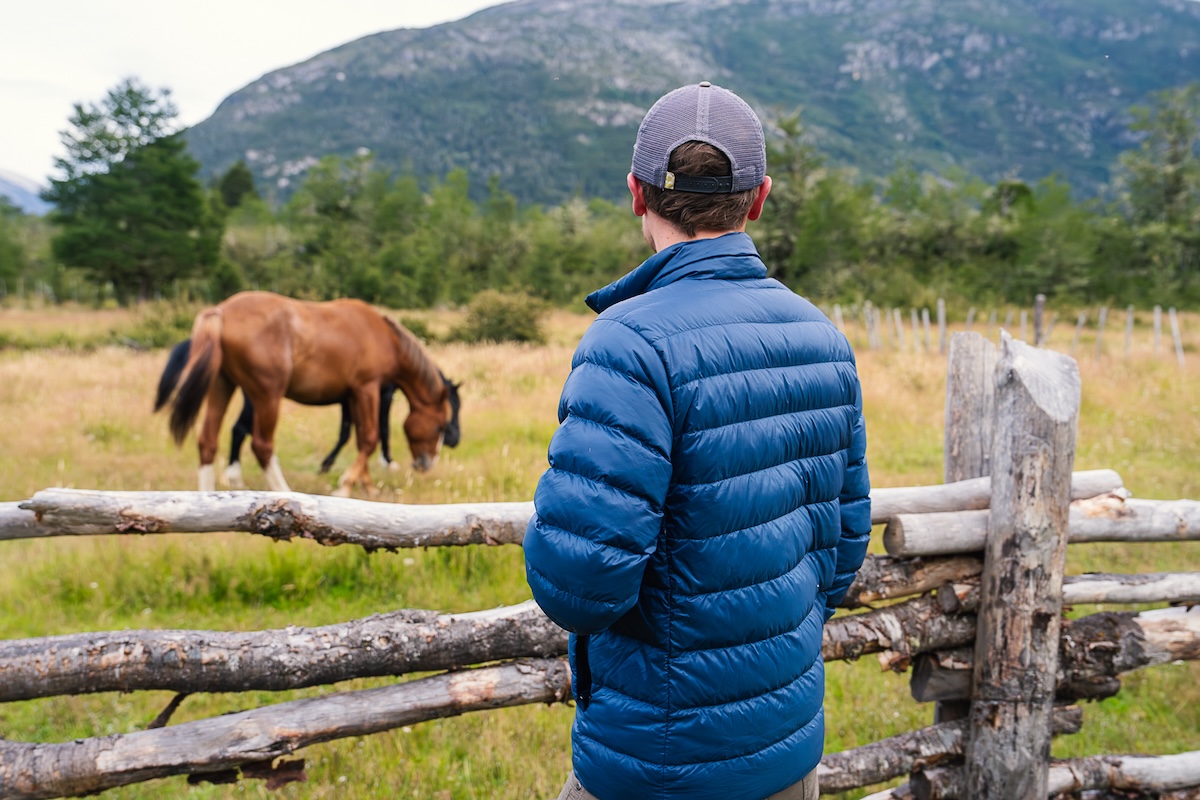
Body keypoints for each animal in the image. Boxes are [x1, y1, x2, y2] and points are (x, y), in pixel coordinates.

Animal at [159, 291, 458, 496]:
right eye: (441, 425)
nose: (427, 463)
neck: (384, 336)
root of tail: (220, 311)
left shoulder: (353, 396)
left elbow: (359, 438)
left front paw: (367, 486)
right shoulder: (368, 389)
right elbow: (370, 439)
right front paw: (345, 485)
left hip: (222, 386)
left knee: (207, 441)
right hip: (266, 397)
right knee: (262, 445)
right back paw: (285, 494)